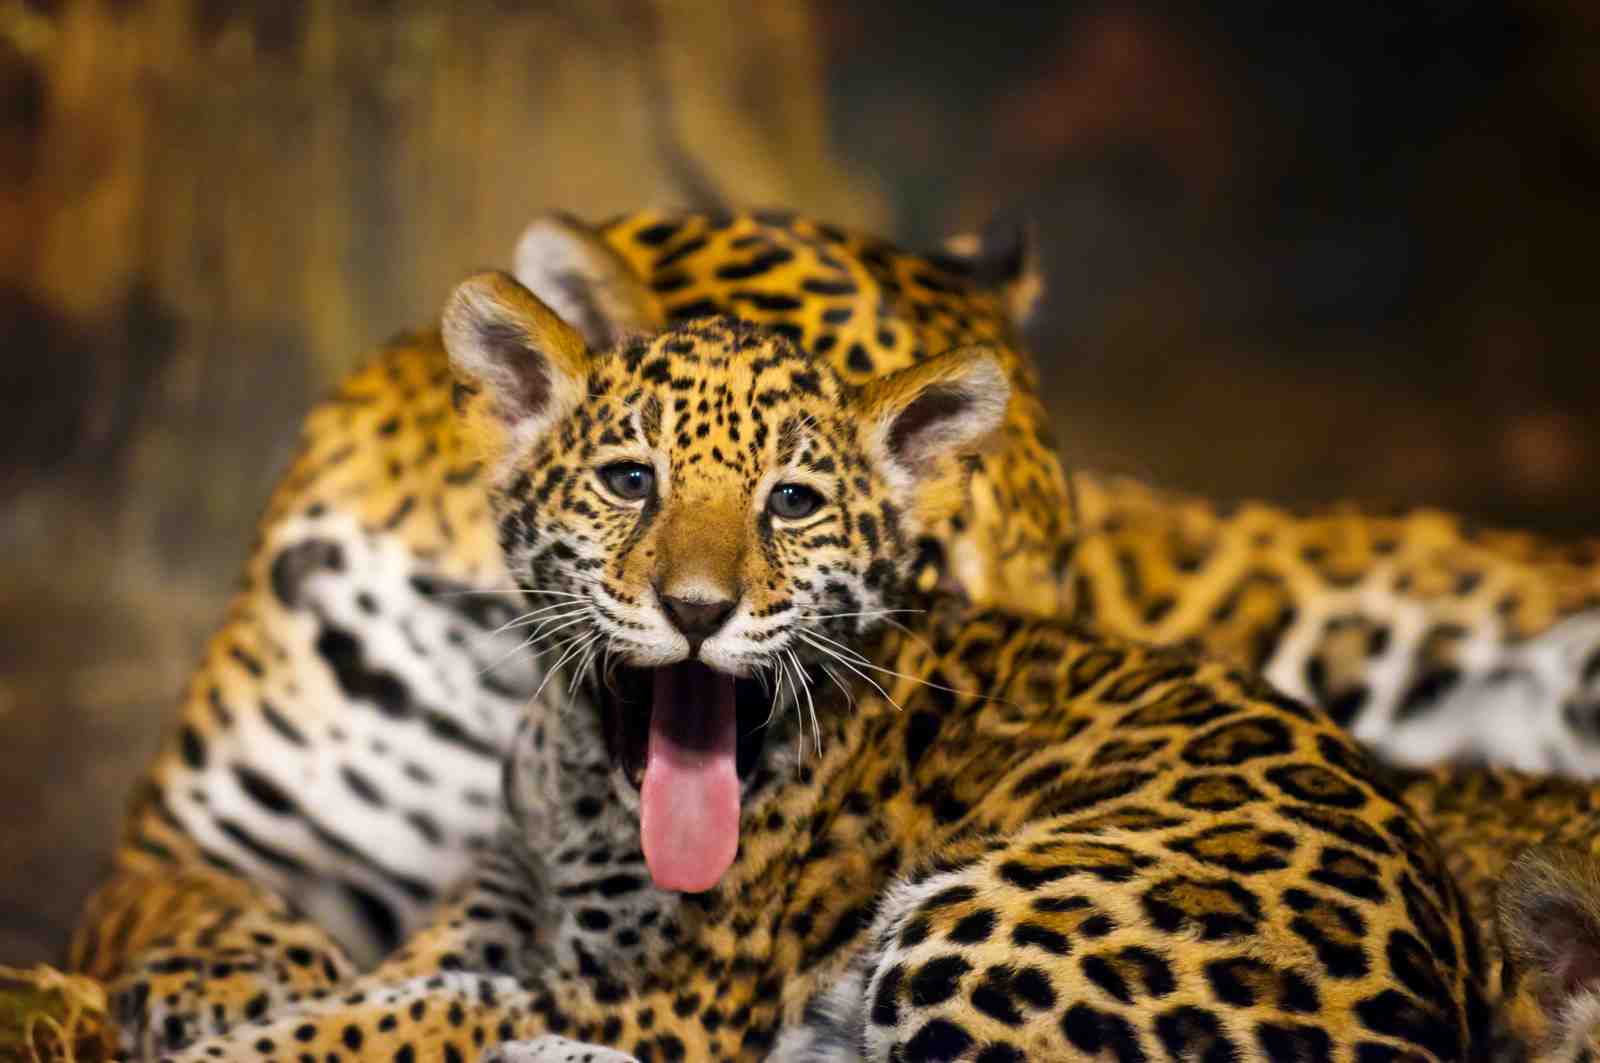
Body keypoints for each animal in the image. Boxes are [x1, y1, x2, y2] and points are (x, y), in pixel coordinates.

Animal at [67, 205, 1600, 1056]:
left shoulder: (649, 993)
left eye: (804, 506)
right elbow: (289, 960)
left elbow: (418, 1017)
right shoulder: (206, 852)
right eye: (631, 479)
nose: (696, 611)